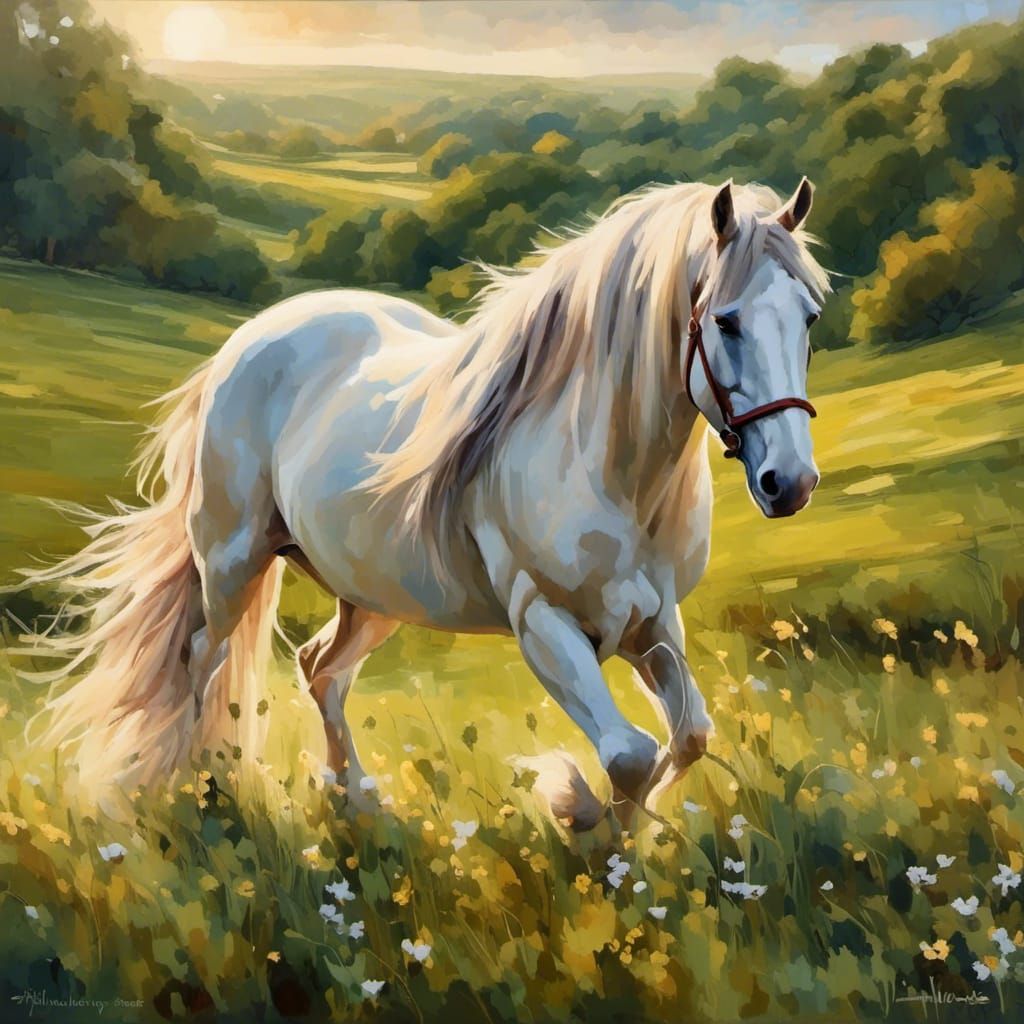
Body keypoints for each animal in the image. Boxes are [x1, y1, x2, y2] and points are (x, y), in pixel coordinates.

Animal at [24, 177, 829, 828]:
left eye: (810, 318)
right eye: (725, 320)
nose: (789, 482)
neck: (609, 468)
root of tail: (245, 342)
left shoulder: (653, 626)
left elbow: (686, 738)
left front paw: (618, 847)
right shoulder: (545, 624)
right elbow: (629, 753)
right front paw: (575, 811)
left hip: (372, 592)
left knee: (321, 669)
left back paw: (355, 802)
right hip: (232, 564)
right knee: (202, 664)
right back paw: (205, 792)